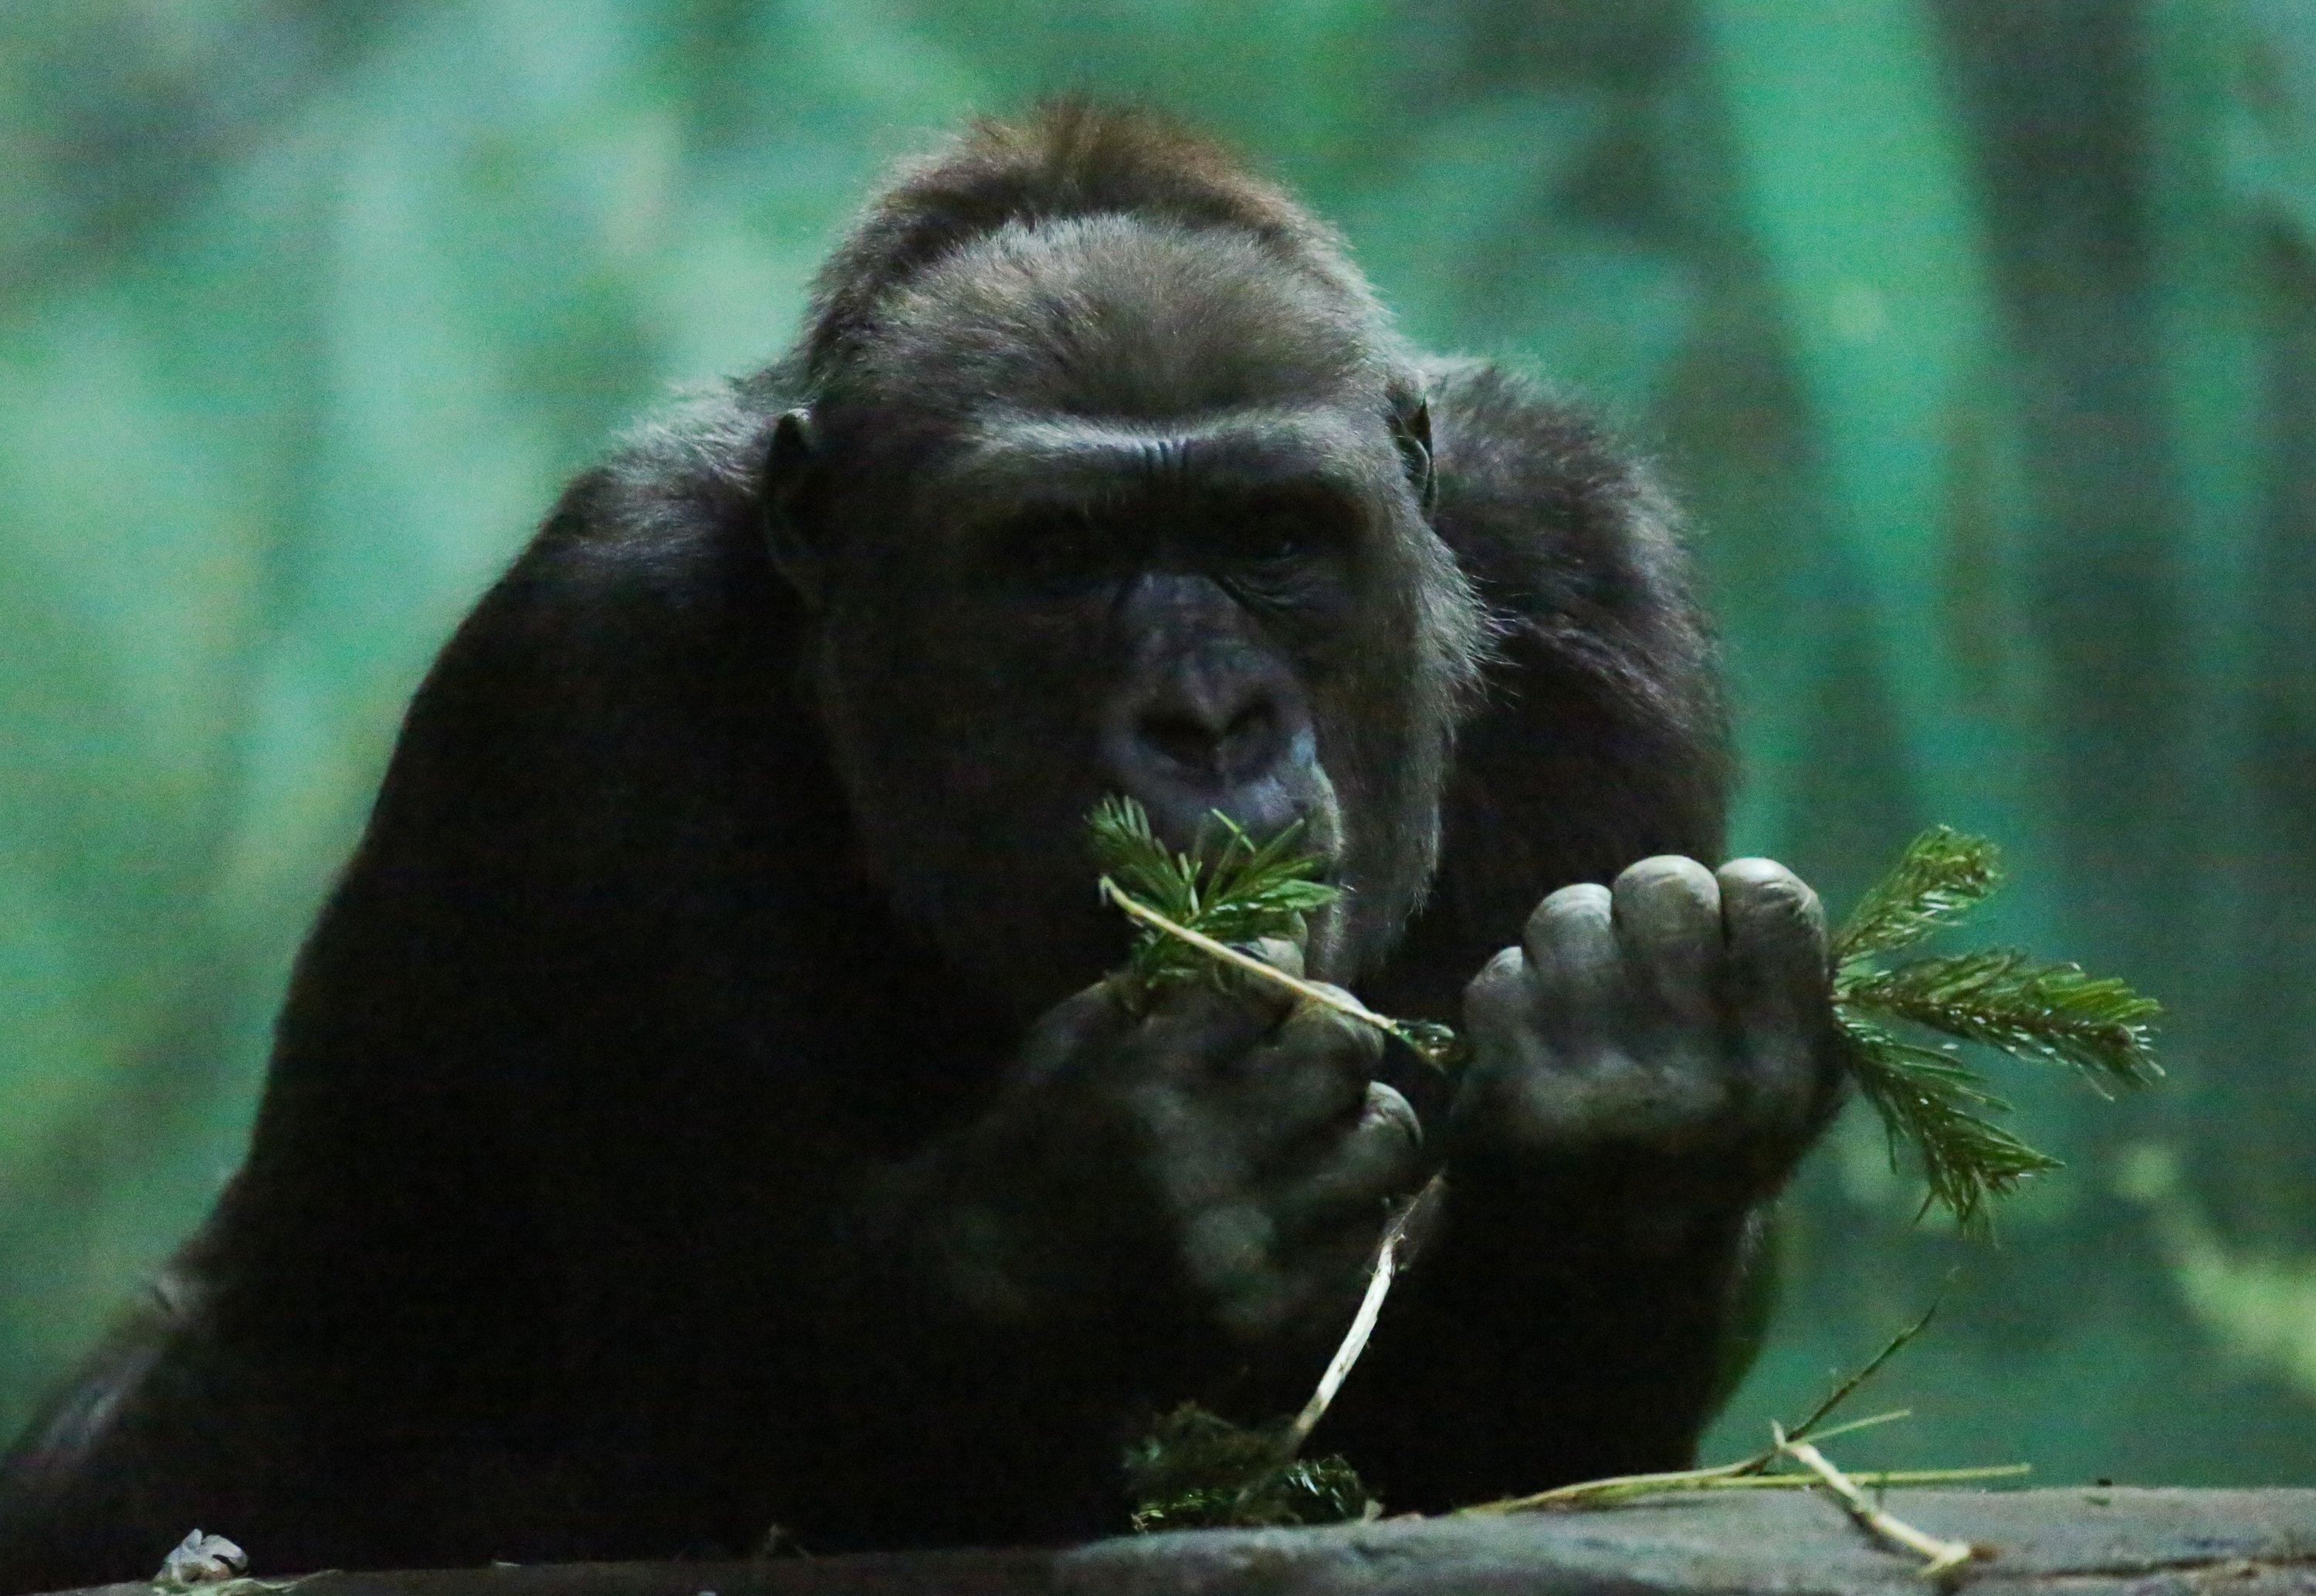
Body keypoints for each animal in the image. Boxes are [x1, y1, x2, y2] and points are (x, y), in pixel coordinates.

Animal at [4, 106, 1844, 1584]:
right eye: (1058, 554)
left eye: (1272, 538)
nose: (1206, 718)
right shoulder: (587, 665)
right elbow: (706, 1405)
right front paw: (1108, 1213)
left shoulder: (1594, 575)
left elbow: (1518, 1460)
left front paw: (1639, 1105)